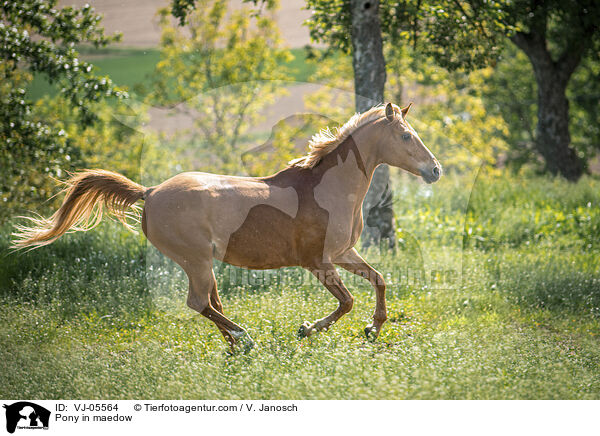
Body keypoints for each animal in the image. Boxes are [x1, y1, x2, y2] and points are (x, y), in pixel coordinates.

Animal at [12, 102, 440, 350]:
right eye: (406, 136)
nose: (435, 170)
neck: (328, 190)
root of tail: (150, 192)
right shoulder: (318, 262)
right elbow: (347, 301)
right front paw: (307, 329)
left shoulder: (344, 253)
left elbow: (379, 280)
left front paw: (373, 329)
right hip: (196, 259)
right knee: (200, 302)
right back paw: (244, 339)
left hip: (202, 262)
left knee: (211, 303)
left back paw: (235, 346)